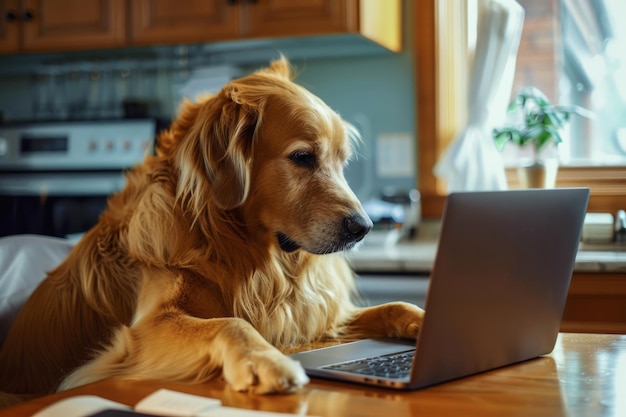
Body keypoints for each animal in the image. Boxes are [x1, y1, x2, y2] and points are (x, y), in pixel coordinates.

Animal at [0, 56, 424, 404]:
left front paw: (423, 321)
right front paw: (265, 361)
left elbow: (395, 305)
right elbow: (232, 323)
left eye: (342, 161)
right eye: (303, 157)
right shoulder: (143, 331)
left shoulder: (319, 318)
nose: (364, 227)